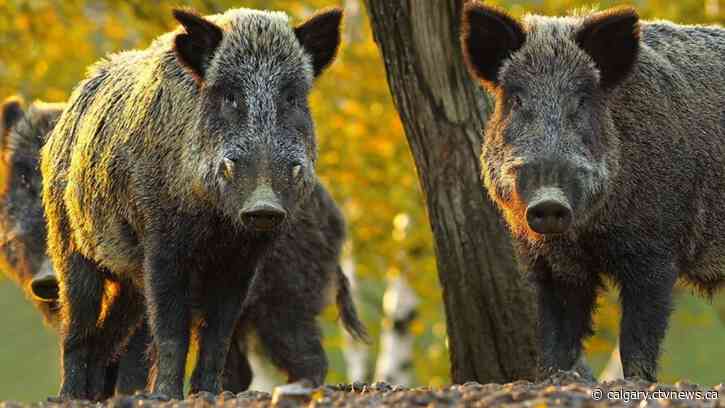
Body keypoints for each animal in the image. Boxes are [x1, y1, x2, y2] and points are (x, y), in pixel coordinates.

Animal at [41, 6, 350, 400]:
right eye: (230, 96)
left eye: (292, 98)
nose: (264, 206)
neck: (217, 224)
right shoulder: (161, 243)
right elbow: (172, 328)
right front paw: (165, 395)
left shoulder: (243, 260)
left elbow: (218, 332)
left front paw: (209, 393)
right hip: (68, 240)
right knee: (77, 323)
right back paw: (70, 395)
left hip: (129, 276)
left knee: (108, 335)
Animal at [461, 2, 725, 381]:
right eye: (516, 99)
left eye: (583, 99)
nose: (549, 203)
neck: (587, 234)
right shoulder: (551, 263)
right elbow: (557, 338)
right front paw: (553, 378)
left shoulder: (656, 250)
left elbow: (637, 337)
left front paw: (637, 382)